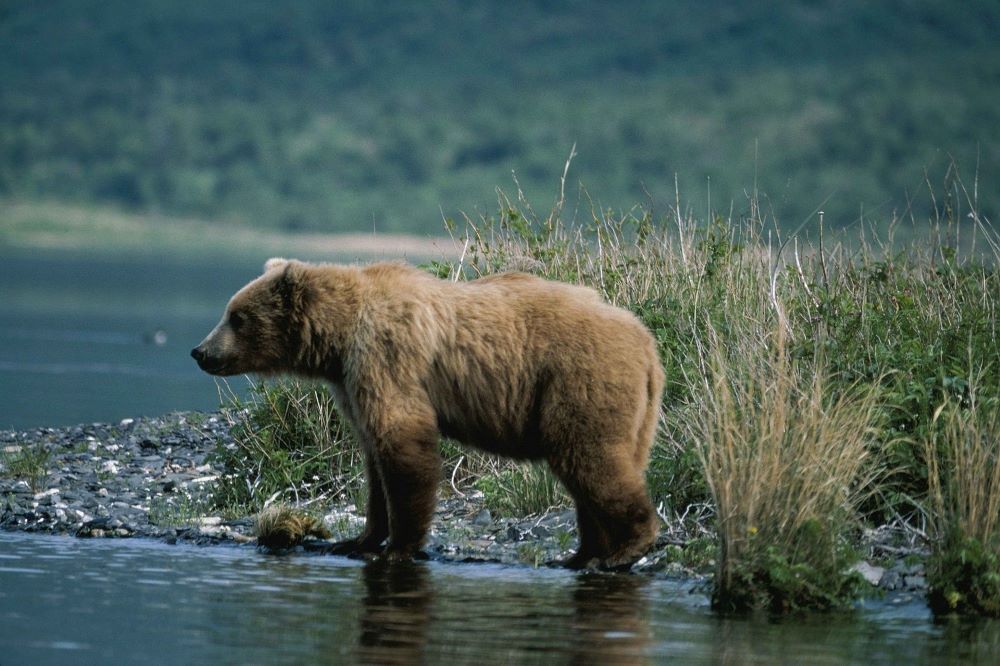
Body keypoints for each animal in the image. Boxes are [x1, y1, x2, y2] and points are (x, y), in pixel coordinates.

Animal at [194, 256, 664, 568]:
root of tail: (646, 342)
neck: (338, 341)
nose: (200, 351)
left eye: (238, 316)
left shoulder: (386, 357)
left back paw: (627, 547)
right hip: (633, 410)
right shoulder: (351, 382)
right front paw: (360, 539)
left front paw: (399, 546)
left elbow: (403, 445)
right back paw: (580, 555)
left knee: (591, 460)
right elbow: (374, 464)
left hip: (578, 381)